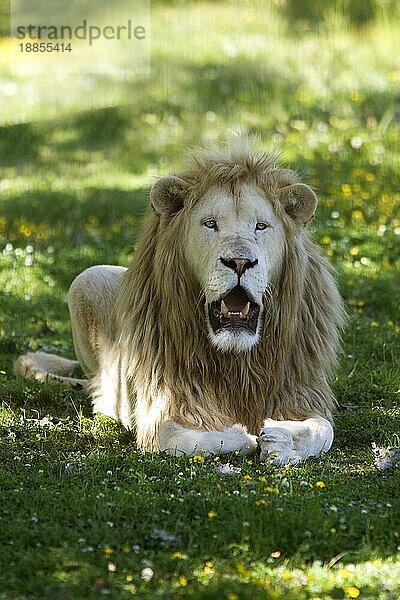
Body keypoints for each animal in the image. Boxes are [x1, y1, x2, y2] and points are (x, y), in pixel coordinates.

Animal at [14, 137, 344, 464]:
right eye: (210, 224)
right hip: (85, 279)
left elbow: (323, 429)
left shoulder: (300, 390)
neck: (236, 361)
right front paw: (244, 437)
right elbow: (173, 436)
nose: (239, 262)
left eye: (261, 226)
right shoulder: (162, 401)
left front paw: (281, 441)